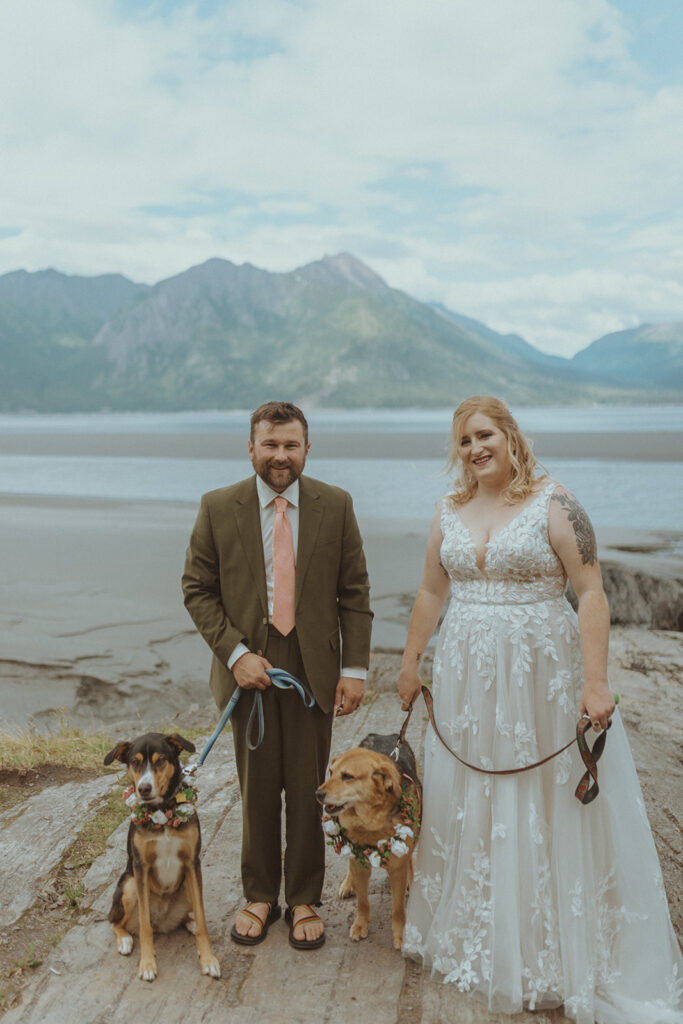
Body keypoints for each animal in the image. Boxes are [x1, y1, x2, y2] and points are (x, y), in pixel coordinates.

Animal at [103, 733, 219, 978]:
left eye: (161, 760)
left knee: (192, 913)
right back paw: (125, 940)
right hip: (129, 885)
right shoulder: (141, 867)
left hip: (188, 885)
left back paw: (190, 922)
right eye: (134, 762)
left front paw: (208, 960)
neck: (162, 813)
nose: (143, 789)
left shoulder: (192, 863)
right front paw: (147, 964)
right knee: (117, 922)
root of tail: (163, 921)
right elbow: (145, 928)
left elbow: (203, 920)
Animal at [317, 733, 421, 946]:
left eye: (347, 776)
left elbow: (398, 908)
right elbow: (363, 902)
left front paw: (400, 933)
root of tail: (385, 735)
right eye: (330, 772)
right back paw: (348, 884)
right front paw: (360, 924)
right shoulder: (359, 861)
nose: (318, 794)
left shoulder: (397, 868)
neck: (370, 825)